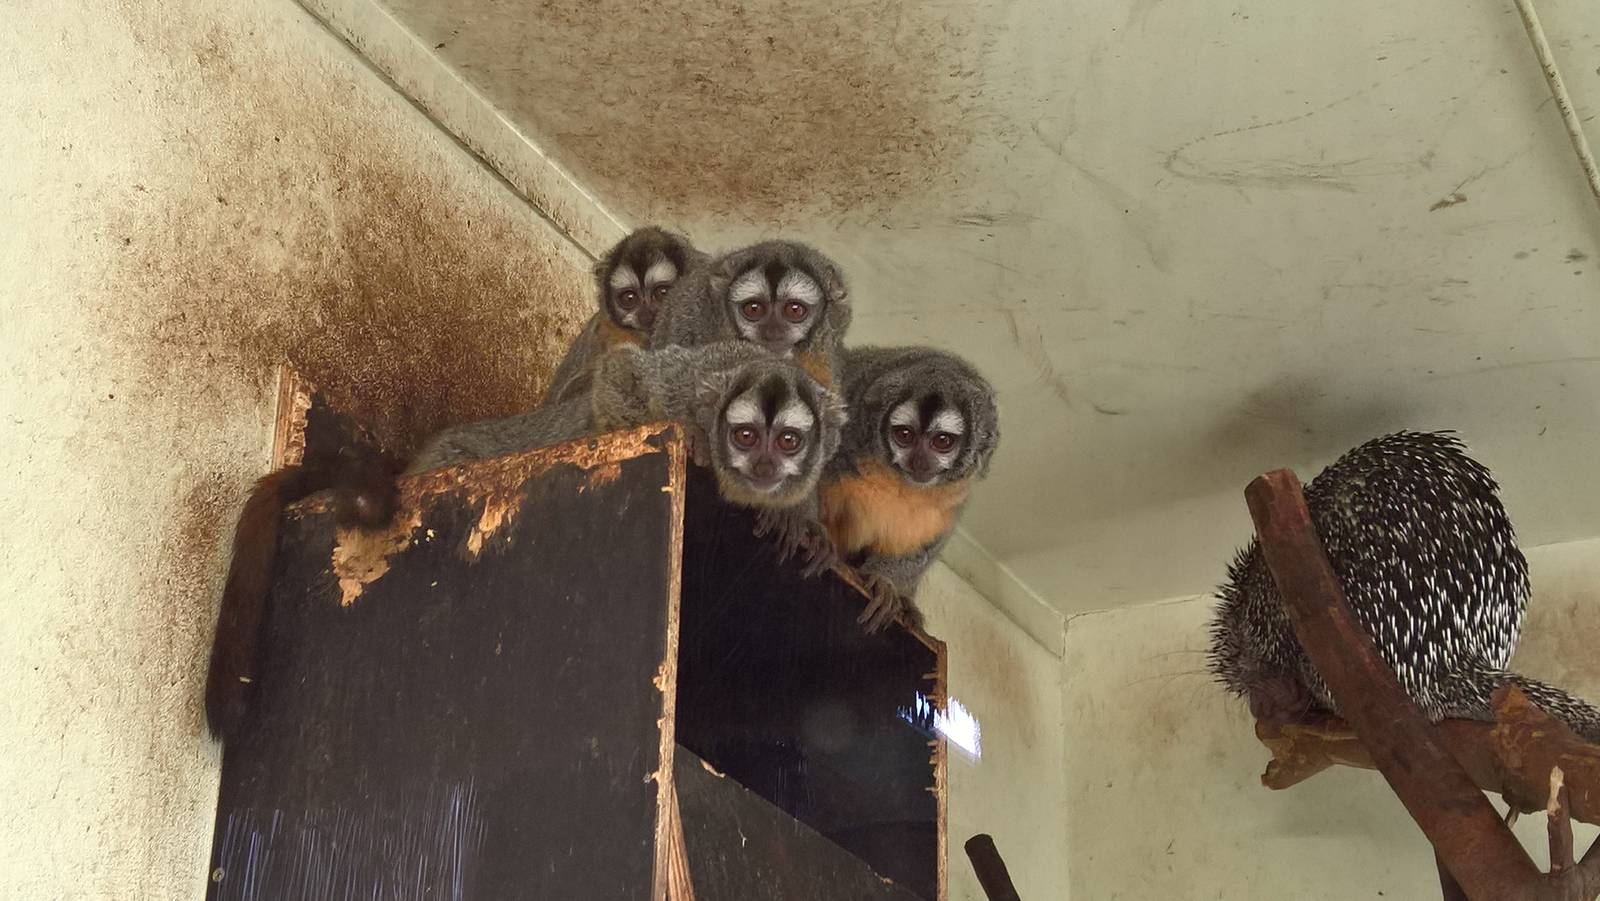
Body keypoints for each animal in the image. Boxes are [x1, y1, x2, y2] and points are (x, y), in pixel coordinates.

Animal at [407, 342, 846, 513]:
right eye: (746, 436)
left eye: (788, 441)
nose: (764, 465)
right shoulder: (676, 384)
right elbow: (622, 371)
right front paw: (695, 440)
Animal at [770, 345, 999, 632]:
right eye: (904, 435)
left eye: (942, 441)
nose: (919, 462)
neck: (896, 478)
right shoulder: (847, 434)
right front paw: (799, 520)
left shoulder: (954, 495)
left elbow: (926, 542)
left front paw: (885, 583)